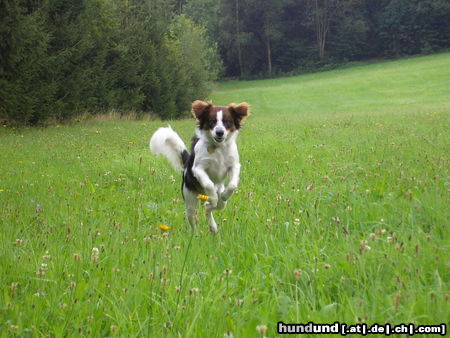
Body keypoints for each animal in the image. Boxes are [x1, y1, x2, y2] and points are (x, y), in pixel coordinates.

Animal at [150, 100, 250, 232]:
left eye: (227, 121)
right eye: (212, 120)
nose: (219, 132)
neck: (218, 148)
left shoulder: (233, 165)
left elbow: (232, 185)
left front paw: (224, 195)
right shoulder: (198, 168)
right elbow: (208, 183)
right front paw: (213, 196)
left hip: (221, 203)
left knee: (211, 207)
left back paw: (213, 225)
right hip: (190, 201)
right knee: (194, 219)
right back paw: (196, 233)